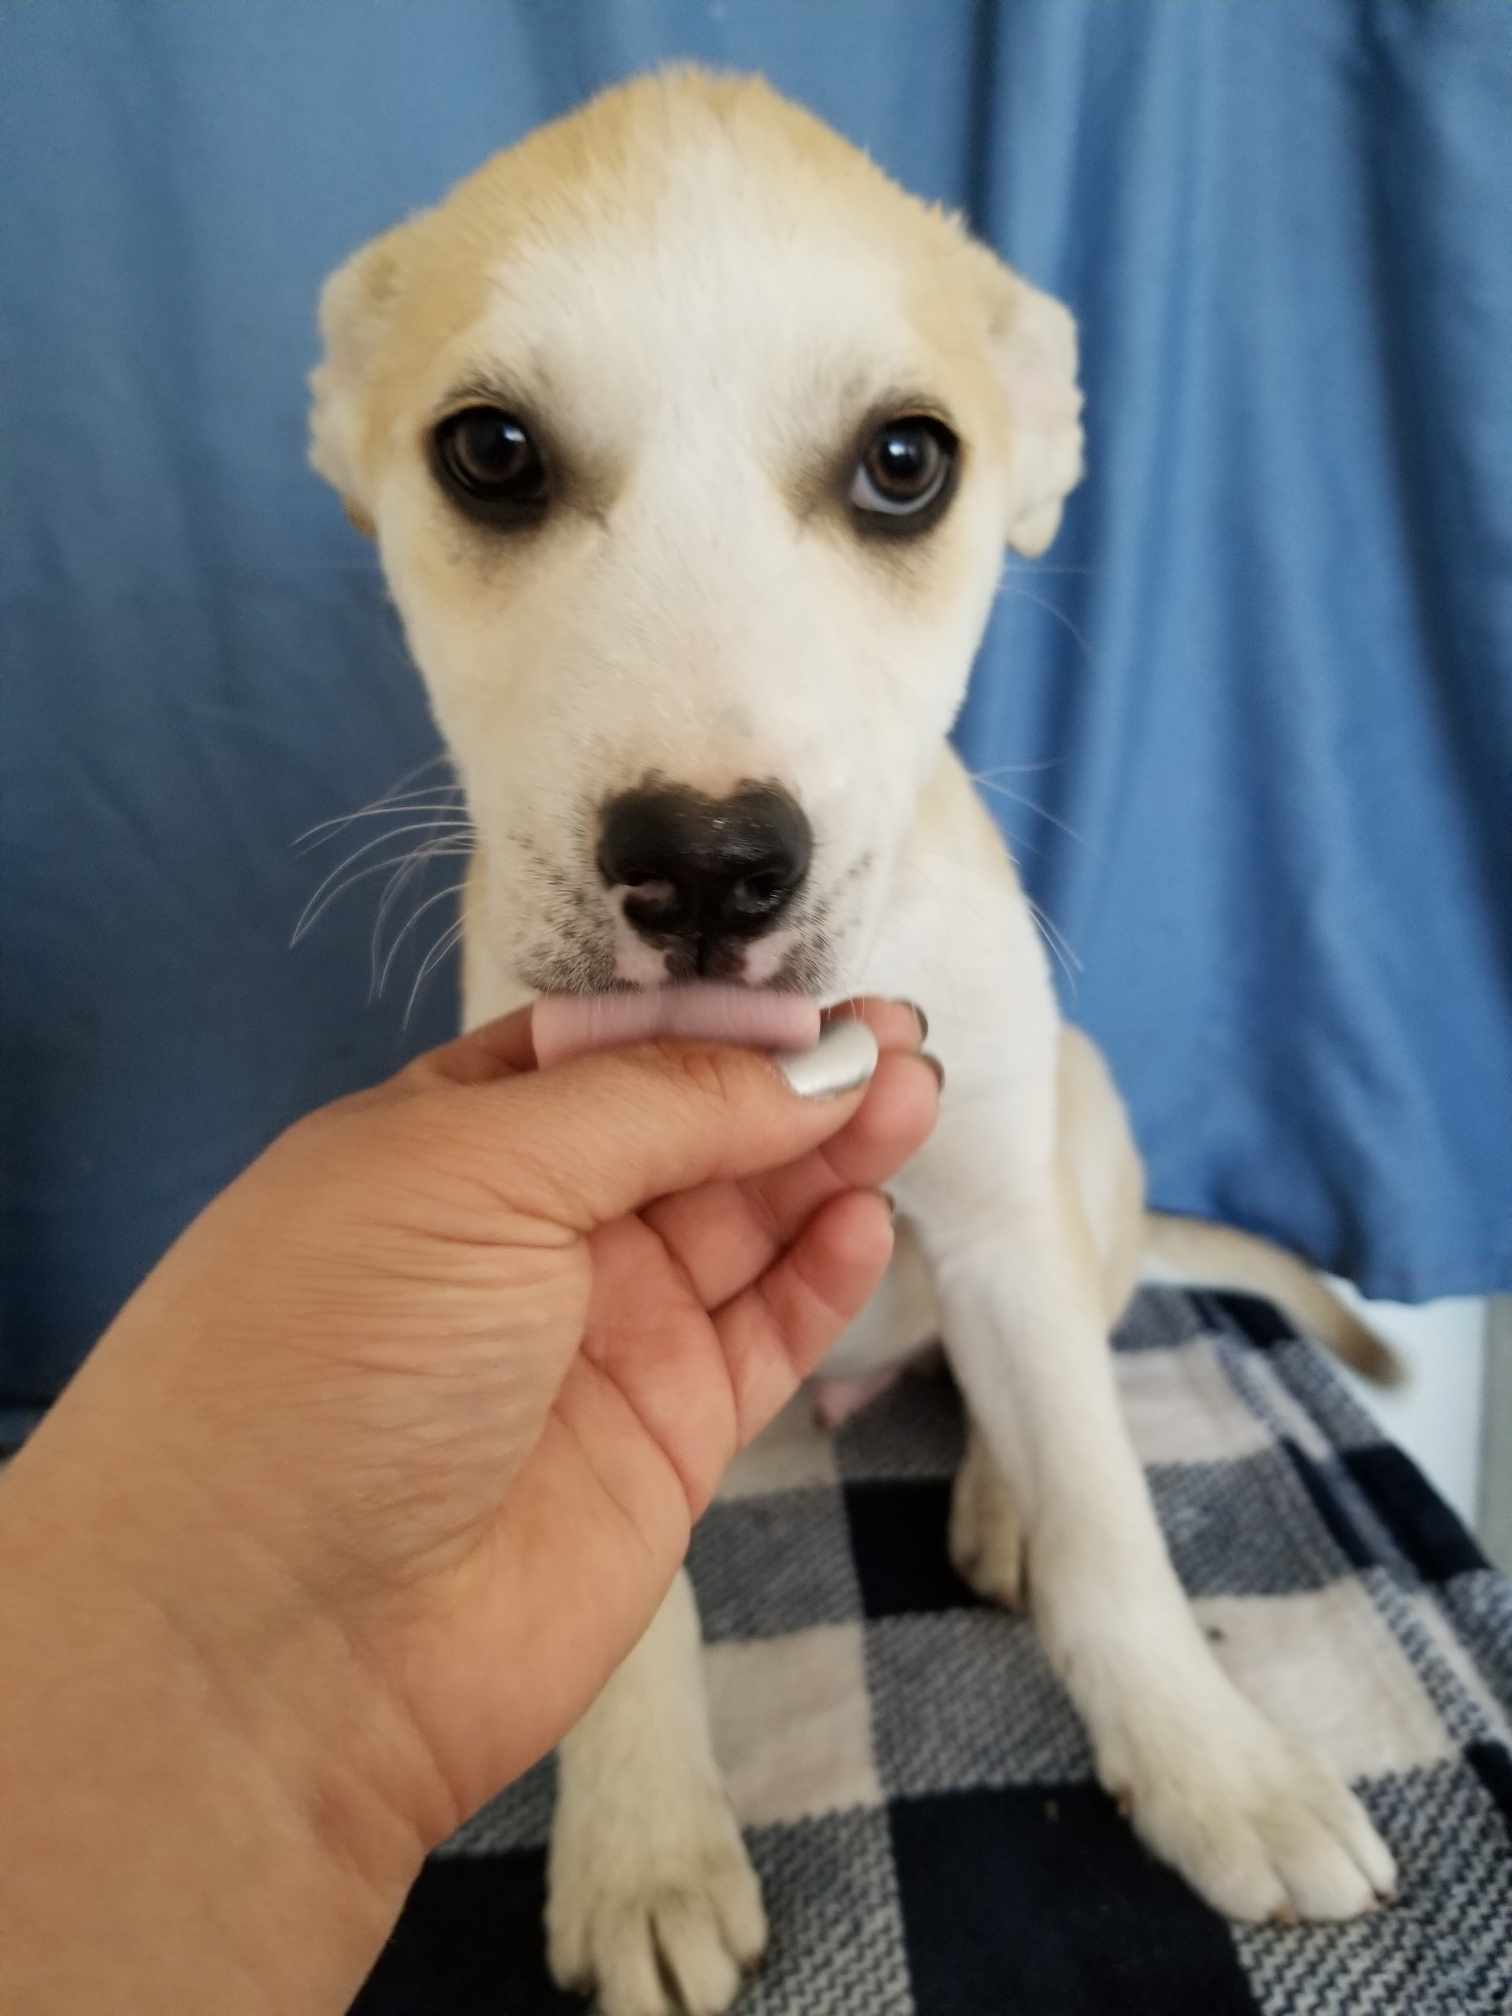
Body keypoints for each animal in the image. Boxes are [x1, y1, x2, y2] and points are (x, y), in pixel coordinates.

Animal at [314, 71, 1403, 2016]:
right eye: (490, 454)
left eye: (907, 463)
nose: (704, 864)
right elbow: (626, 1607)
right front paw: (642, 1845)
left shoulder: (992, 1206)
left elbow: (1114, 1524)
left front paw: (1214, 1765)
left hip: (1080, 1120)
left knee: (1065, 1352)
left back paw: (1000, 1505)